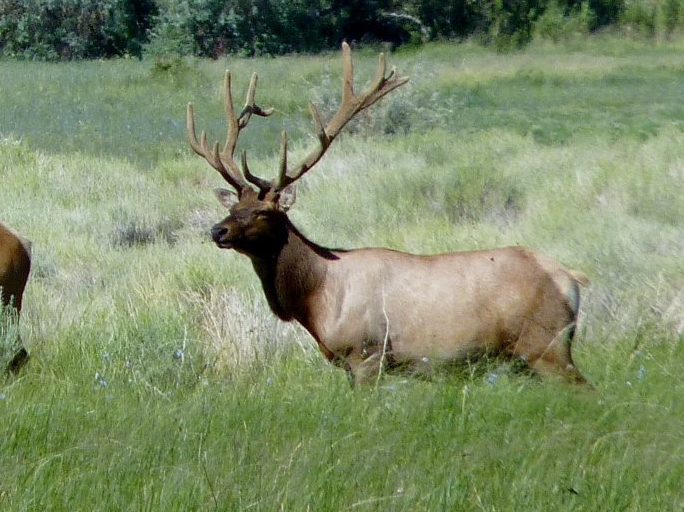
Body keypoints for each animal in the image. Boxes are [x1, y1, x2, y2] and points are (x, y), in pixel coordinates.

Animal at [187, 44, 588, 386]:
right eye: (232, 207)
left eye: (262, 212)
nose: (217, 231)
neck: (317, 299)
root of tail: (571, 279)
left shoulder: (365, 355)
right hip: (528, 357)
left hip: (547, 346)